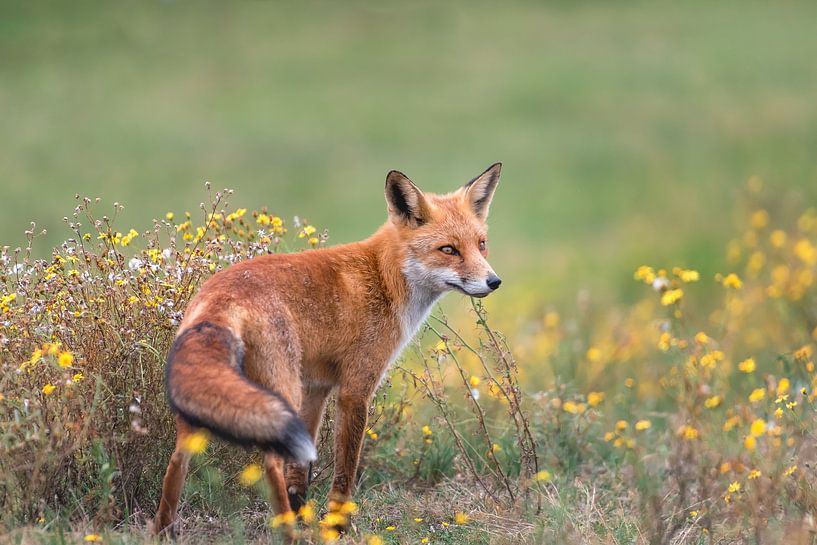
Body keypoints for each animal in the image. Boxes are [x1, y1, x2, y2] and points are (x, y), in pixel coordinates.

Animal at [153, 163, 503, 536]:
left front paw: (302, 511)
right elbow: (345, 469)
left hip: (213, 403)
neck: (384, 278)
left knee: (177, 461)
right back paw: (287, 532)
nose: (494, 282)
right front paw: (337, 525)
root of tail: (219, 297)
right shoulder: (355, 389)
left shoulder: (316, 388)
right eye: (449, 250)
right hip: (281, 393)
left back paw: (163, 531)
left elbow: (300, 472)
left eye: (482, 245)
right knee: (270, 463)